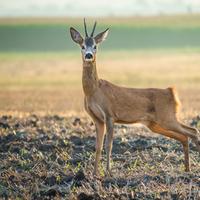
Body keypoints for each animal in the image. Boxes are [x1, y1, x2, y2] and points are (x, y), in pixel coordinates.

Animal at [69, 18, 199, 175]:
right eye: (82, 46)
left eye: (95, 46)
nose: (89, 55)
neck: (94, 91)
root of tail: (172, 92)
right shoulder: (97, 119)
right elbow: (97, 147)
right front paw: (94, 174)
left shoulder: (110, 114)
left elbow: (108, 145)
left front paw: (109, 172)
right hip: (155, 124)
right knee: (185, 137)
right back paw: (187, 169)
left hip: (167, 118)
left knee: (193, 131)